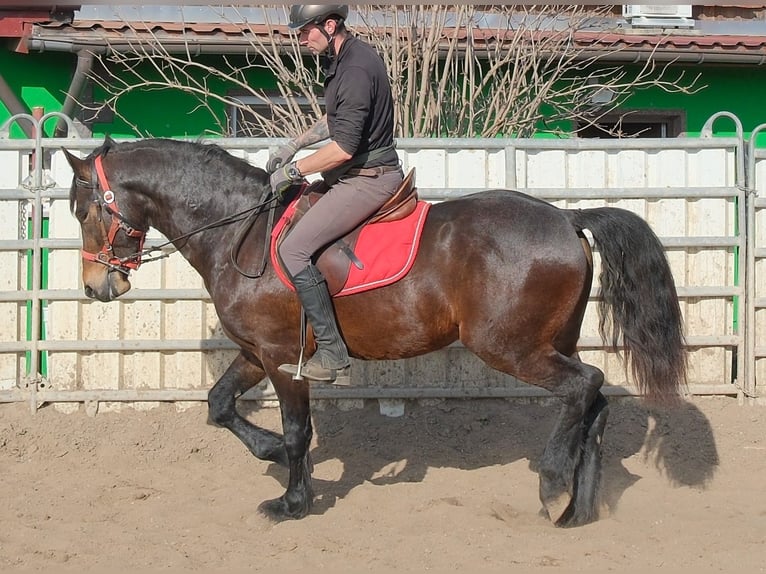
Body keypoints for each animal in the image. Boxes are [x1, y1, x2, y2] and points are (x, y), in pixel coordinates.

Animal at [62, 137, 686, 528]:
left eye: (85, 211)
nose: (96, 287)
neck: (241, 233)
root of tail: (566, 217)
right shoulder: (255, 352)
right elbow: (219, 406)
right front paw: (268, 453)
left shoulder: (283, 357)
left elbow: (297, 432)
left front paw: (291, 501)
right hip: (550, 342)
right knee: (594, 404)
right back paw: (578, 510)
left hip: (513, 347)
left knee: (585, 385)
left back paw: (553, 482)